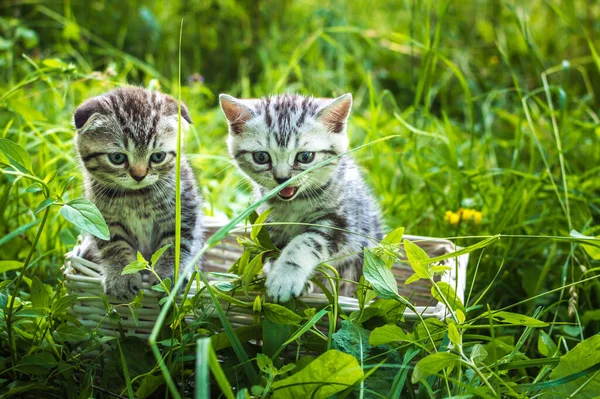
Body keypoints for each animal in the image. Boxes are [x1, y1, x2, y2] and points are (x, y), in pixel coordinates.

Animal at [72, 87, 204, 300]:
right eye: (117, 158)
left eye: (158, 156)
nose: (139, 175)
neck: (136, 196)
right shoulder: (104, 219)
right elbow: (114, 245)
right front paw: (121, 276)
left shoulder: (184, 209)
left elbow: (175, 244)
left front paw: (169, 274)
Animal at [218, 92, 382, 302]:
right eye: (261, 157)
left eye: (305, 157)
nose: (282, 178)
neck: (294, 203)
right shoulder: (269, 226)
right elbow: (273, 250)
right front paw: (278, 273)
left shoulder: (343, 221)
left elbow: (307, 241)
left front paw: (286, 276)